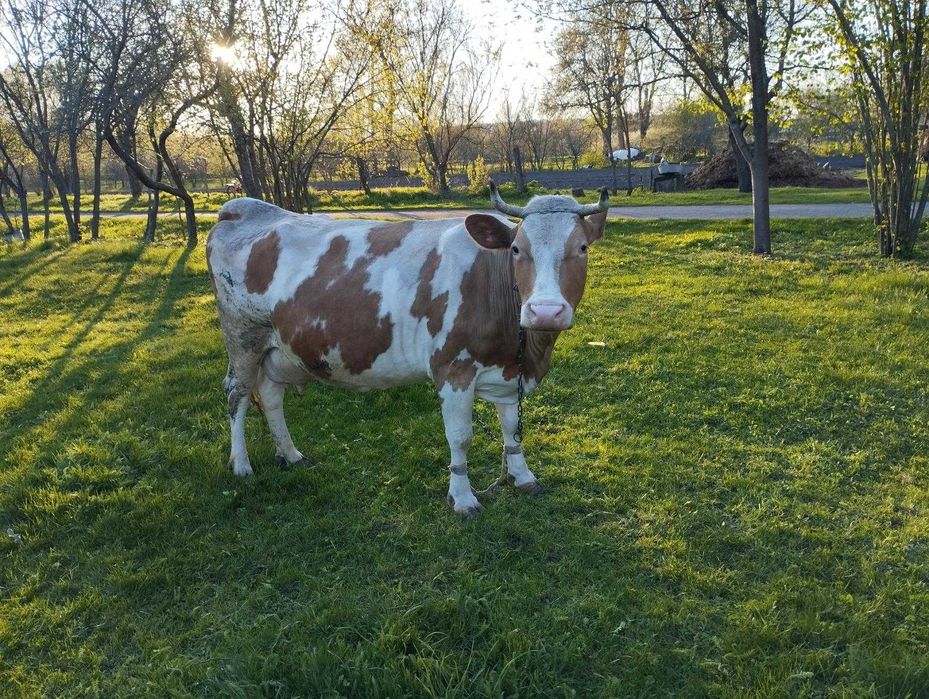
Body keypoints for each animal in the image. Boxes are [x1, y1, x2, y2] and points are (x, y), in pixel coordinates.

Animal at [206, 183, 609, 516]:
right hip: (242, 336)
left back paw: (290, 455)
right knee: (237, 394)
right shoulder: (453, 369)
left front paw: (523, 477)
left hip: (280, 348)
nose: (545, 311)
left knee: (271, 396)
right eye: (516, 249)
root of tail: (244, 208)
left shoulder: (509, 370)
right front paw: (463, 499)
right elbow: (460, 438)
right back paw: (241, 464)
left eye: (582, 248)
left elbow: (512, 431)